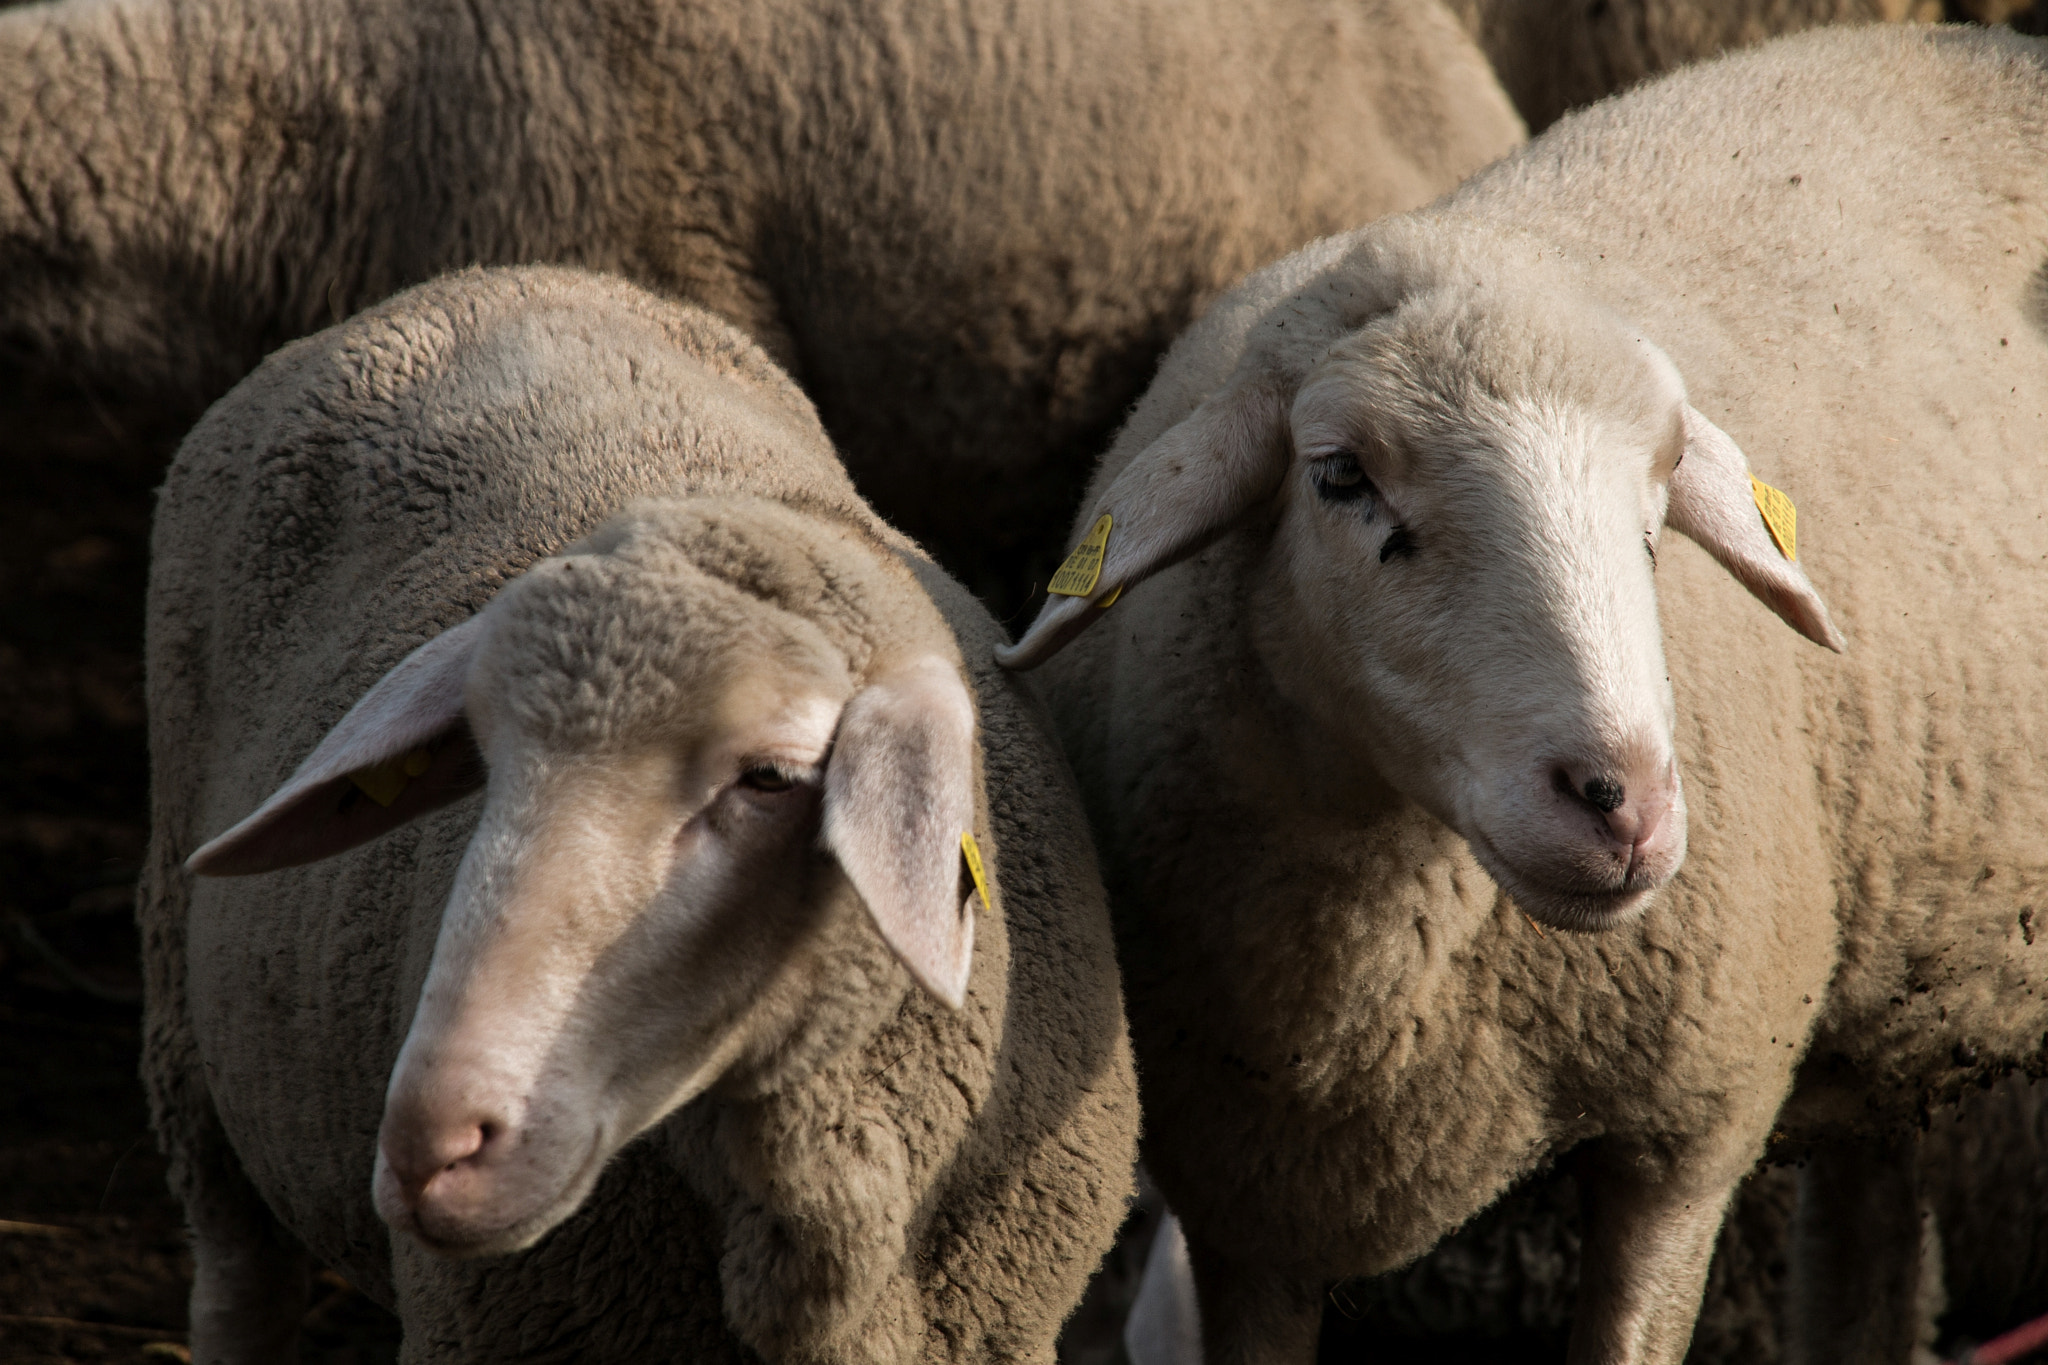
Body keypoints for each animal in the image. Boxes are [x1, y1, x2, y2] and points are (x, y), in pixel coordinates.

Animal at [141, 265, 1138, 1363]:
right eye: (483, 756)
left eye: (770, 778)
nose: (427, 1150)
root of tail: (486, 279)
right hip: (185, 1030)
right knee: (238, 1268)